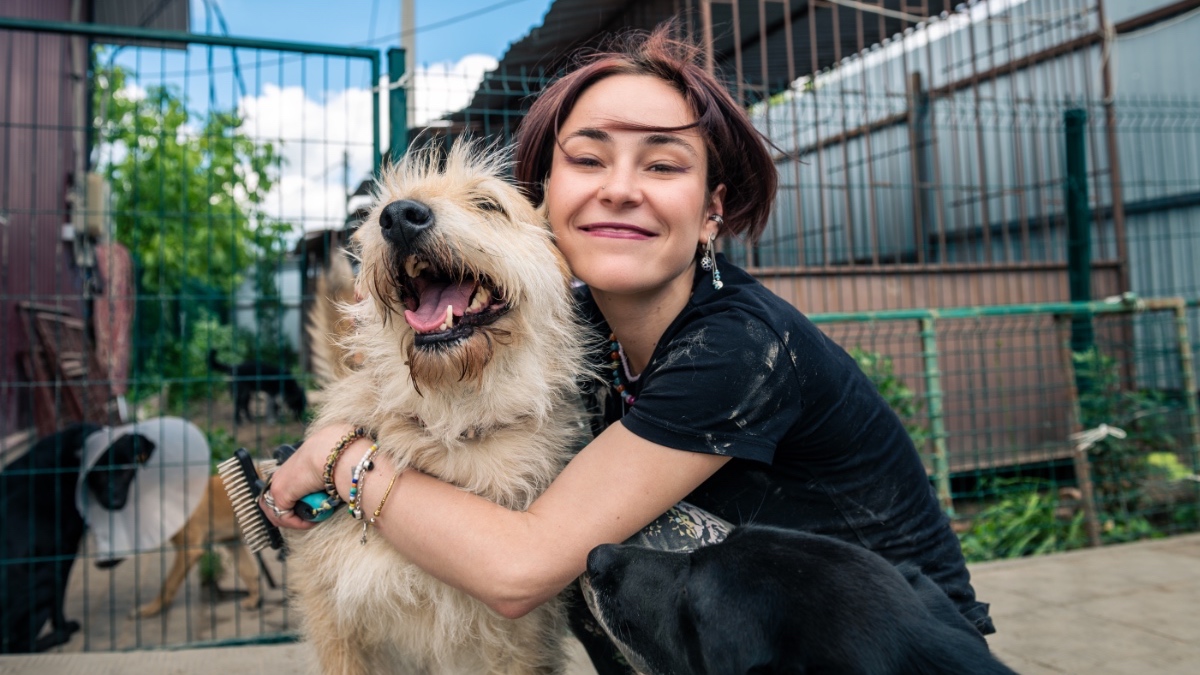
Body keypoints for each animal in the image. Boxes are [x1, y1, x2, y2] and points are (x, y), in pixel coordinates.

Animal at [0, 422, 154, 648]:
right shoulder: (65, 551)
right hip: (46, 581)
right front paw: (63, 626)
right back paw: (60, 635)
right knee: (17, 644)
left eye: (126, 470)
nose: (115, 503)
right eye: (98, 473)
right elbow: (59, 602)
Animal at [291, 141, 590, 672]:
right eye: (381, 211)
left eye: (488, 204)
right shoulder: (336, 627)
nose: (398, 217)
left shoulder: (520, 644)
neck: (451, 425)